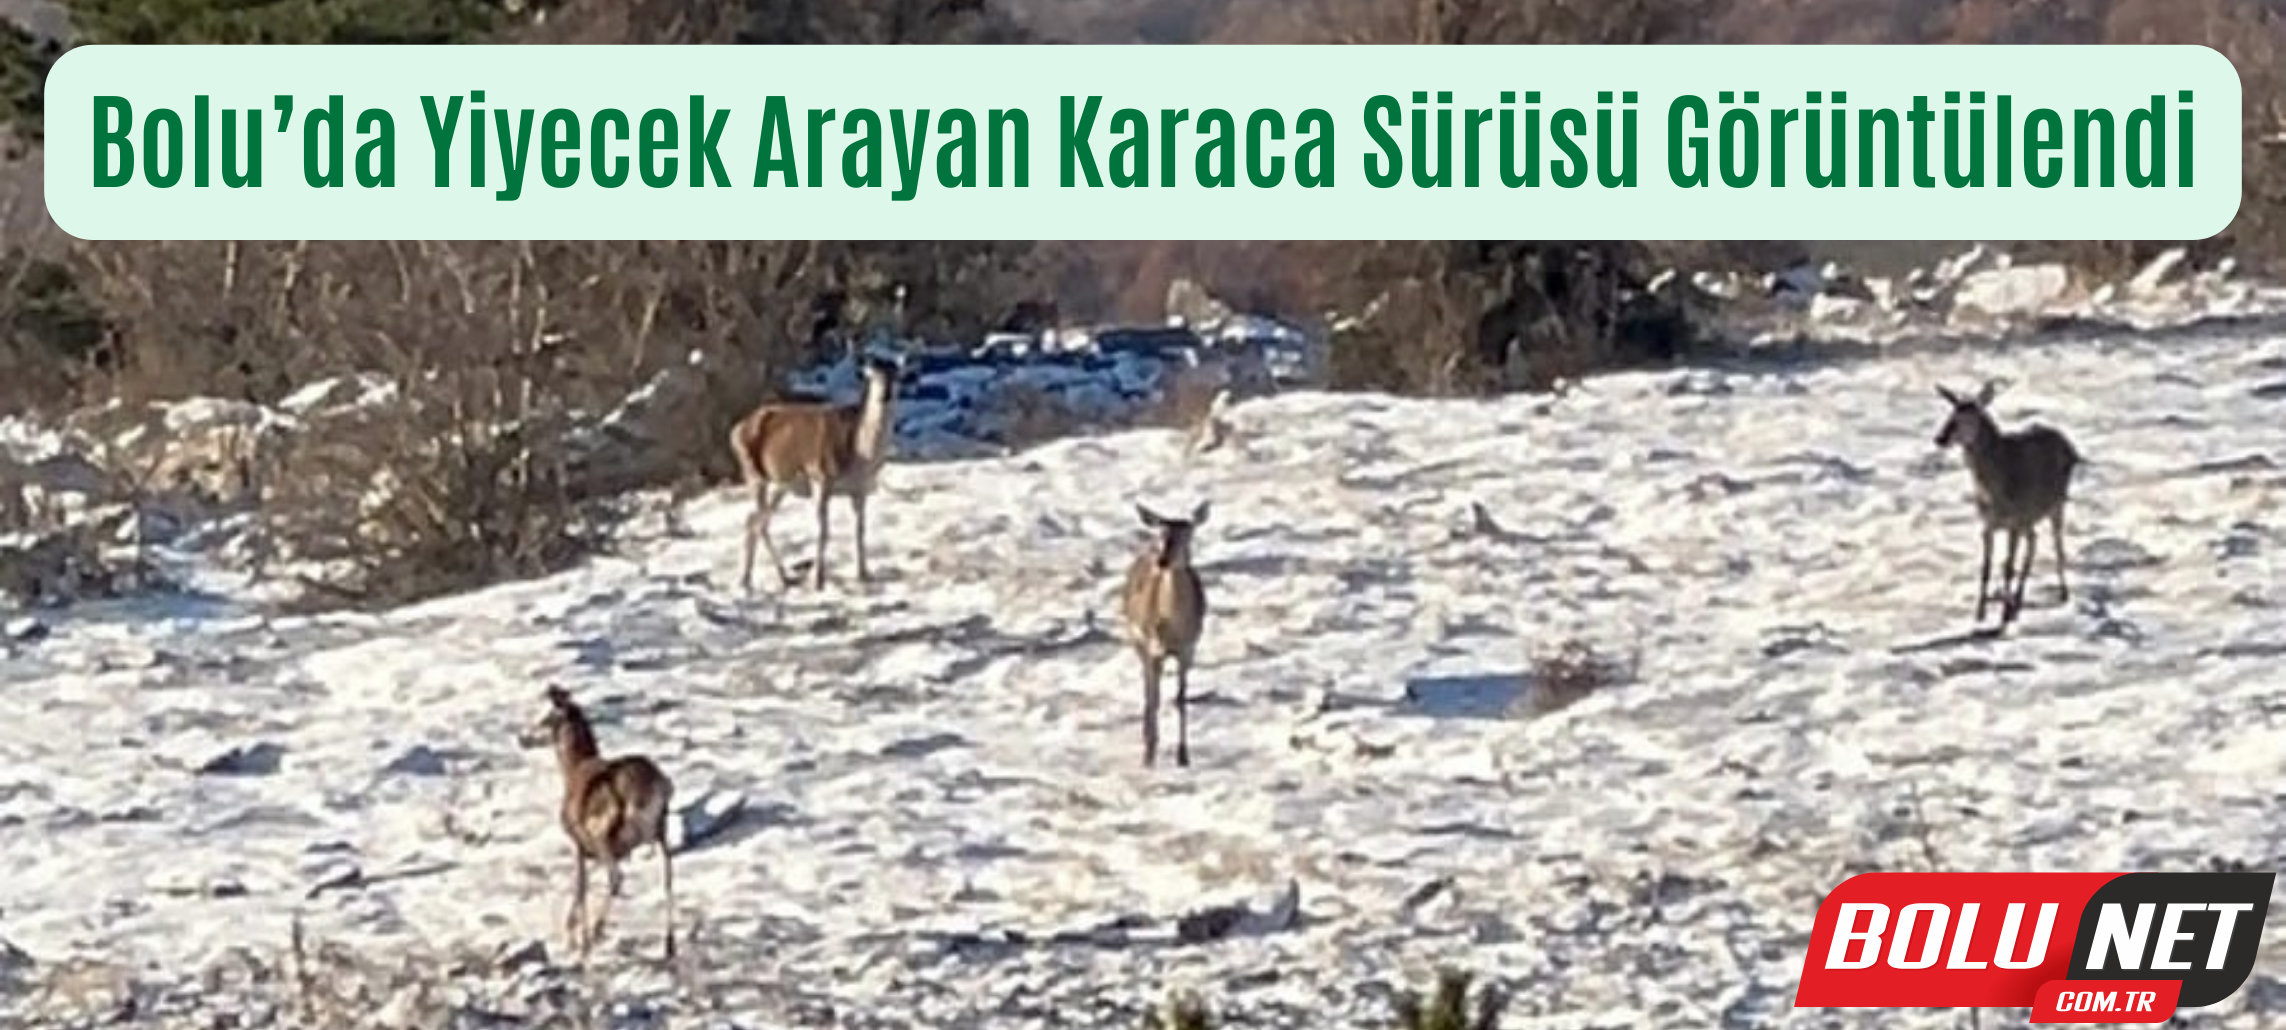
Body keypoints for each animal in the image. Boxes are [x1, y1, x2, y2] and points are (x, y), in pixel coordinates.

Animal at [523, 689, 676, 963]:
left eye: (546, 717)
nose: (522, 738)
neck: (573, 769)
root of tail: (654, 788)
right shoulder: (603, 850)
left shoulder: (579, 842)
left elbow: (581, 886)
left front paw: (576, 941)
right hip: (660, 832)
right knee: (668, 877)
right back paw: (670, 946)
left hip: (603, 833)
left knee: (616, 878)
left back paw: (594, 935)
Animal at [1124, 504, 1216, 771]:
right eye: (1161, 533)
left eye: (1188, 534)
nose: (1162, 560)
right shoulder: (1153, 646)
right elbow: (1154, 698)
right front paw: (1149, 756)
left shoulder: (1189, 649)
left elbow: (1180, 699)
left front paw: (1183, 756)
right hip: (1137, 640)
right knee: (1148, 690)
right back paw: (1148, 743)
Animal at [1938, 383, 2084, 630]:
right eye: (1950, 415)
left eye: (1969, 418)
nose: (1939, 438)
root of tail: (2071, 448)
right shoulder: (1988, 525)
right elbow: (1986, 567)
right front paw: (1980, 614)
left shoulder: (2013, 522)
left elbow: (2007, 567)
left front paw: (2004, 615)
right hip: (2030, 517)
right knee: (2034, 541)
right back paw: (2018, 599)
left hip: (2056, 503)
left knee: (2057, 545)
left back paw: (2062, 593)